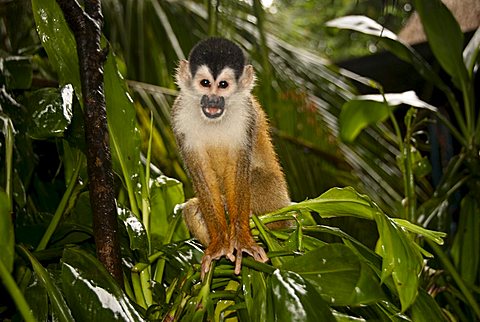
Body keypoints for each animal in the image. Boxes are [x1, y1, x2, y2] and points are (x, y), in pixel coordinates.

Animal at [171, 37, 288, 280]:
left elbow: (239, 168)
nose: (213, 100)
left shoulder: (247, 115)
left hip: (276, 199)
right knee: (192, 208)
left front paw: (241, 240)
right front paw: (219, 244)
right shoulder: (178, 115)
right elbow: (200, 172)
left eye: (223, 85)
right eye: (205, 83)